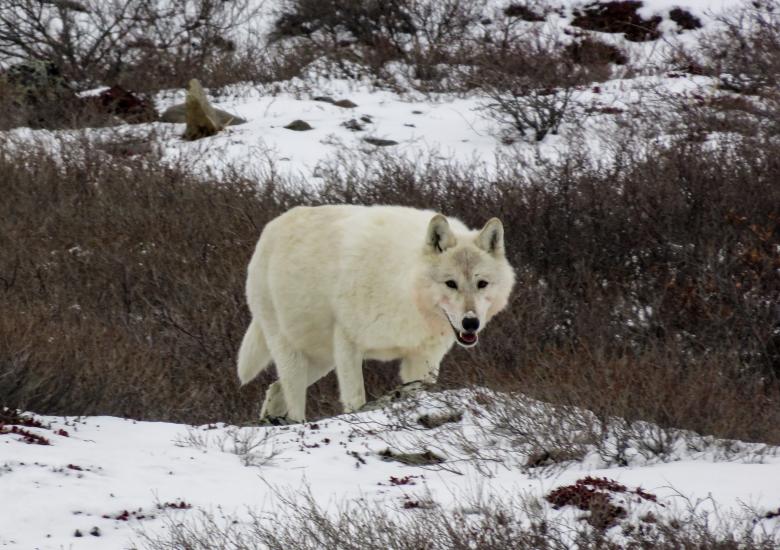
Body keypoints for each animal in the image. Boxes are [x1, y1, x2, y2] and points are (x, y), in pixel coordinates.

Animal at [237, 205, 515, 422]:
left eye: (482, 284)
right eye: (451, 283)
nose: (471, 323)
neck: (404, 288)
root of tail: (271, 227)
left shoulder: (423, 357)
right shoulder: (348, 345)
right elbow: (355, 399)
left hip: (320, 362)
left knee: (274, 390)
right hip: (293, 352)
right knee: (292, 400)